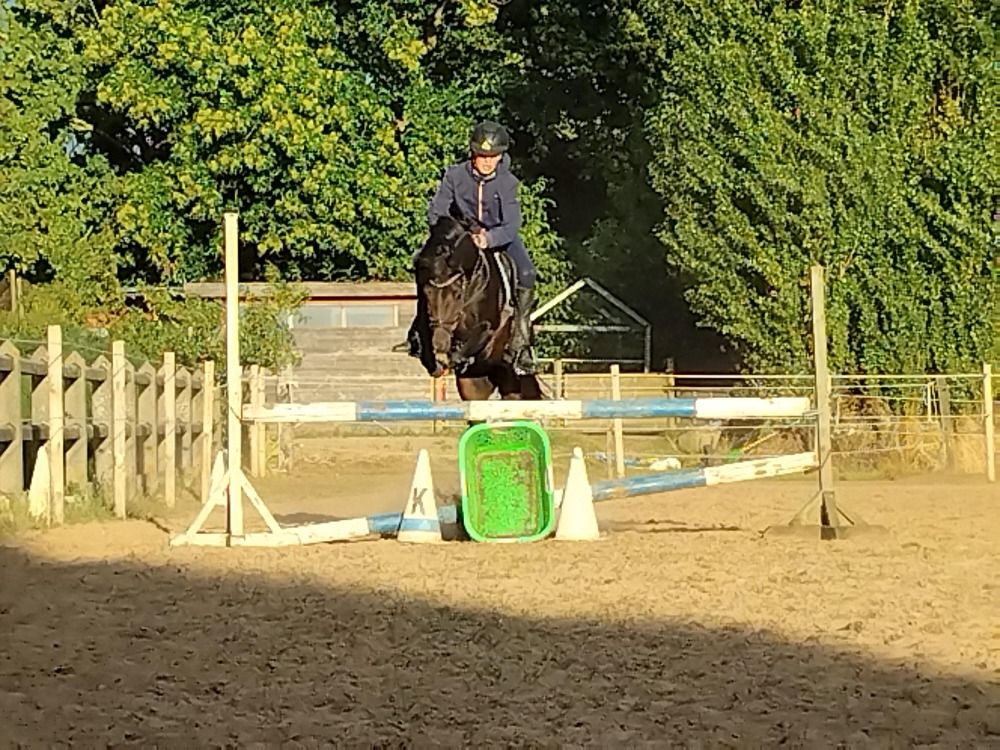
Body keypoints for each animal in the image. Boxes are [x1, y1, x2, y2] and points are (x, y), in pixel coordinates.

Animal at [410, 215, 544, 401]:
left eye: (457, 293)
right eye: (426, 292)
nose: (440, 344)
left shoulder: (487, 328)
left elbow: (467, 347)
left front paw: (450, 360)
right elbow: (424, 343)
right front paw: (436, 362)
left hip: (512, 381)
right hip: (475, 387)